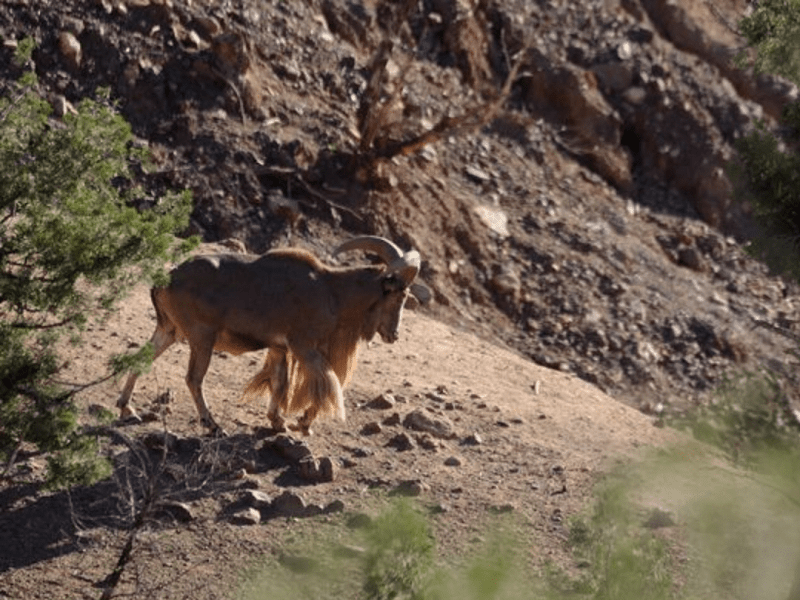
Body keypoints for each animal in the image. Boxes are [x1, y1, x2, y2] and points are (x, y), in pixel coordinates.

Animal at [115, 236, 428, 436]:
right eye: (398, 295)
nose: (394, 335)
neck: (333, 291)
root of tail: (165, 279)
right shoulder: (305, 347)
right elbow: (327, 383)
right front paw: (304, 424)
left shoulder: (280, 348)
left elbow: (279, 383)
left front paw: (278, 422)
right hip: (202, 337)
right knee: (194, 379)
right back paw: (213, 425)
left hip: (168, 330)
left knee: (139, 358)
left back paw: (127, 408)